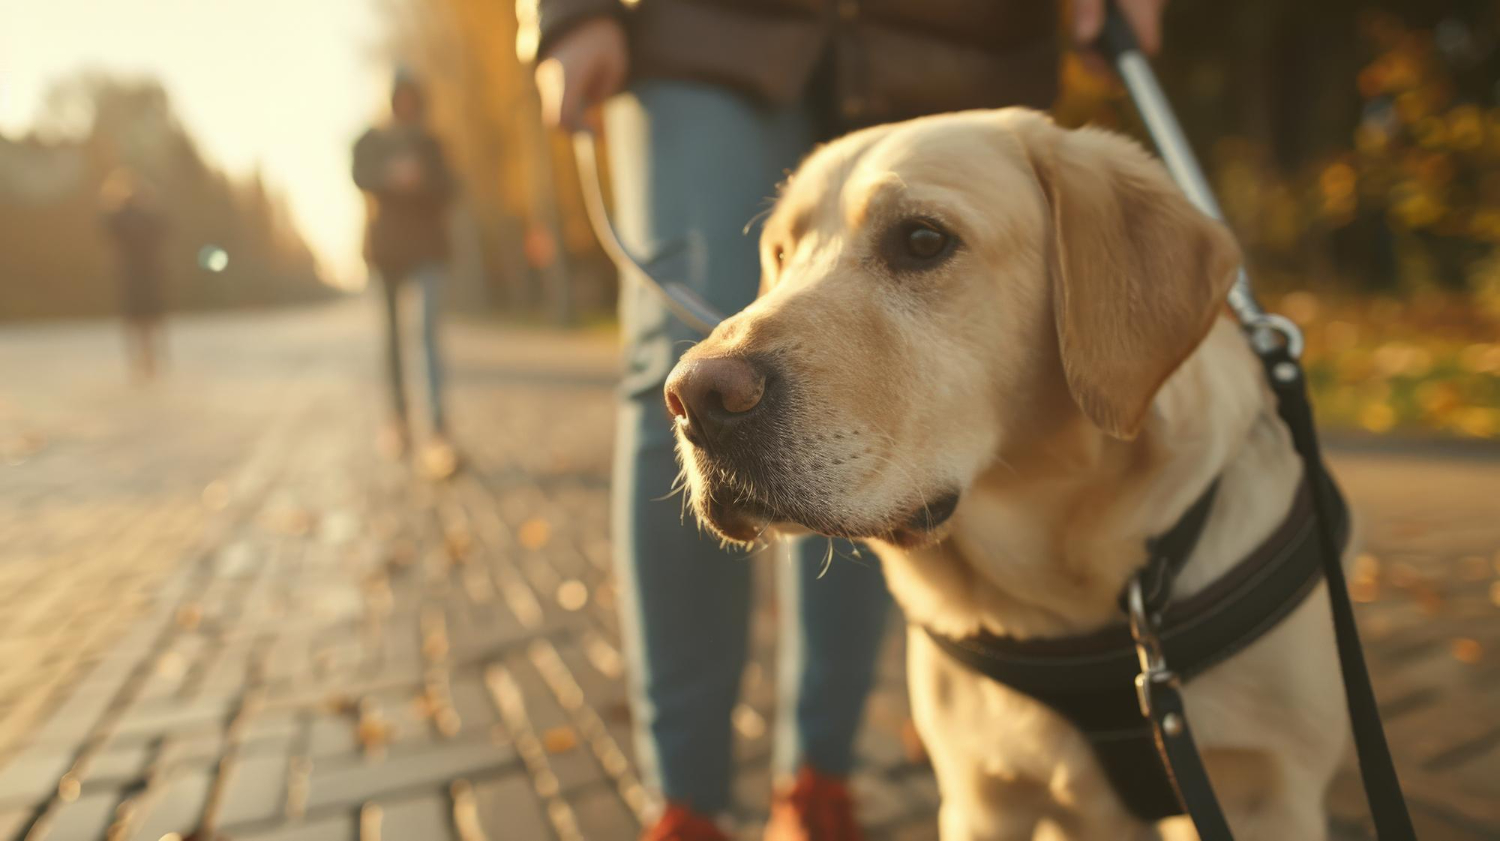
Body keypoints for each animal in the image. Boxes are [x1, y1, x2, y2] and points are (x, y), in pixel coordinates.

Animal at [663, 110, 1344, 839]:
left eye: (924, 240)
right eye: (782, 255)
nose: (693, 397)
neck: (1063, 597)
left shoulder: (1269, 796)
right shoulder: (980, 798)